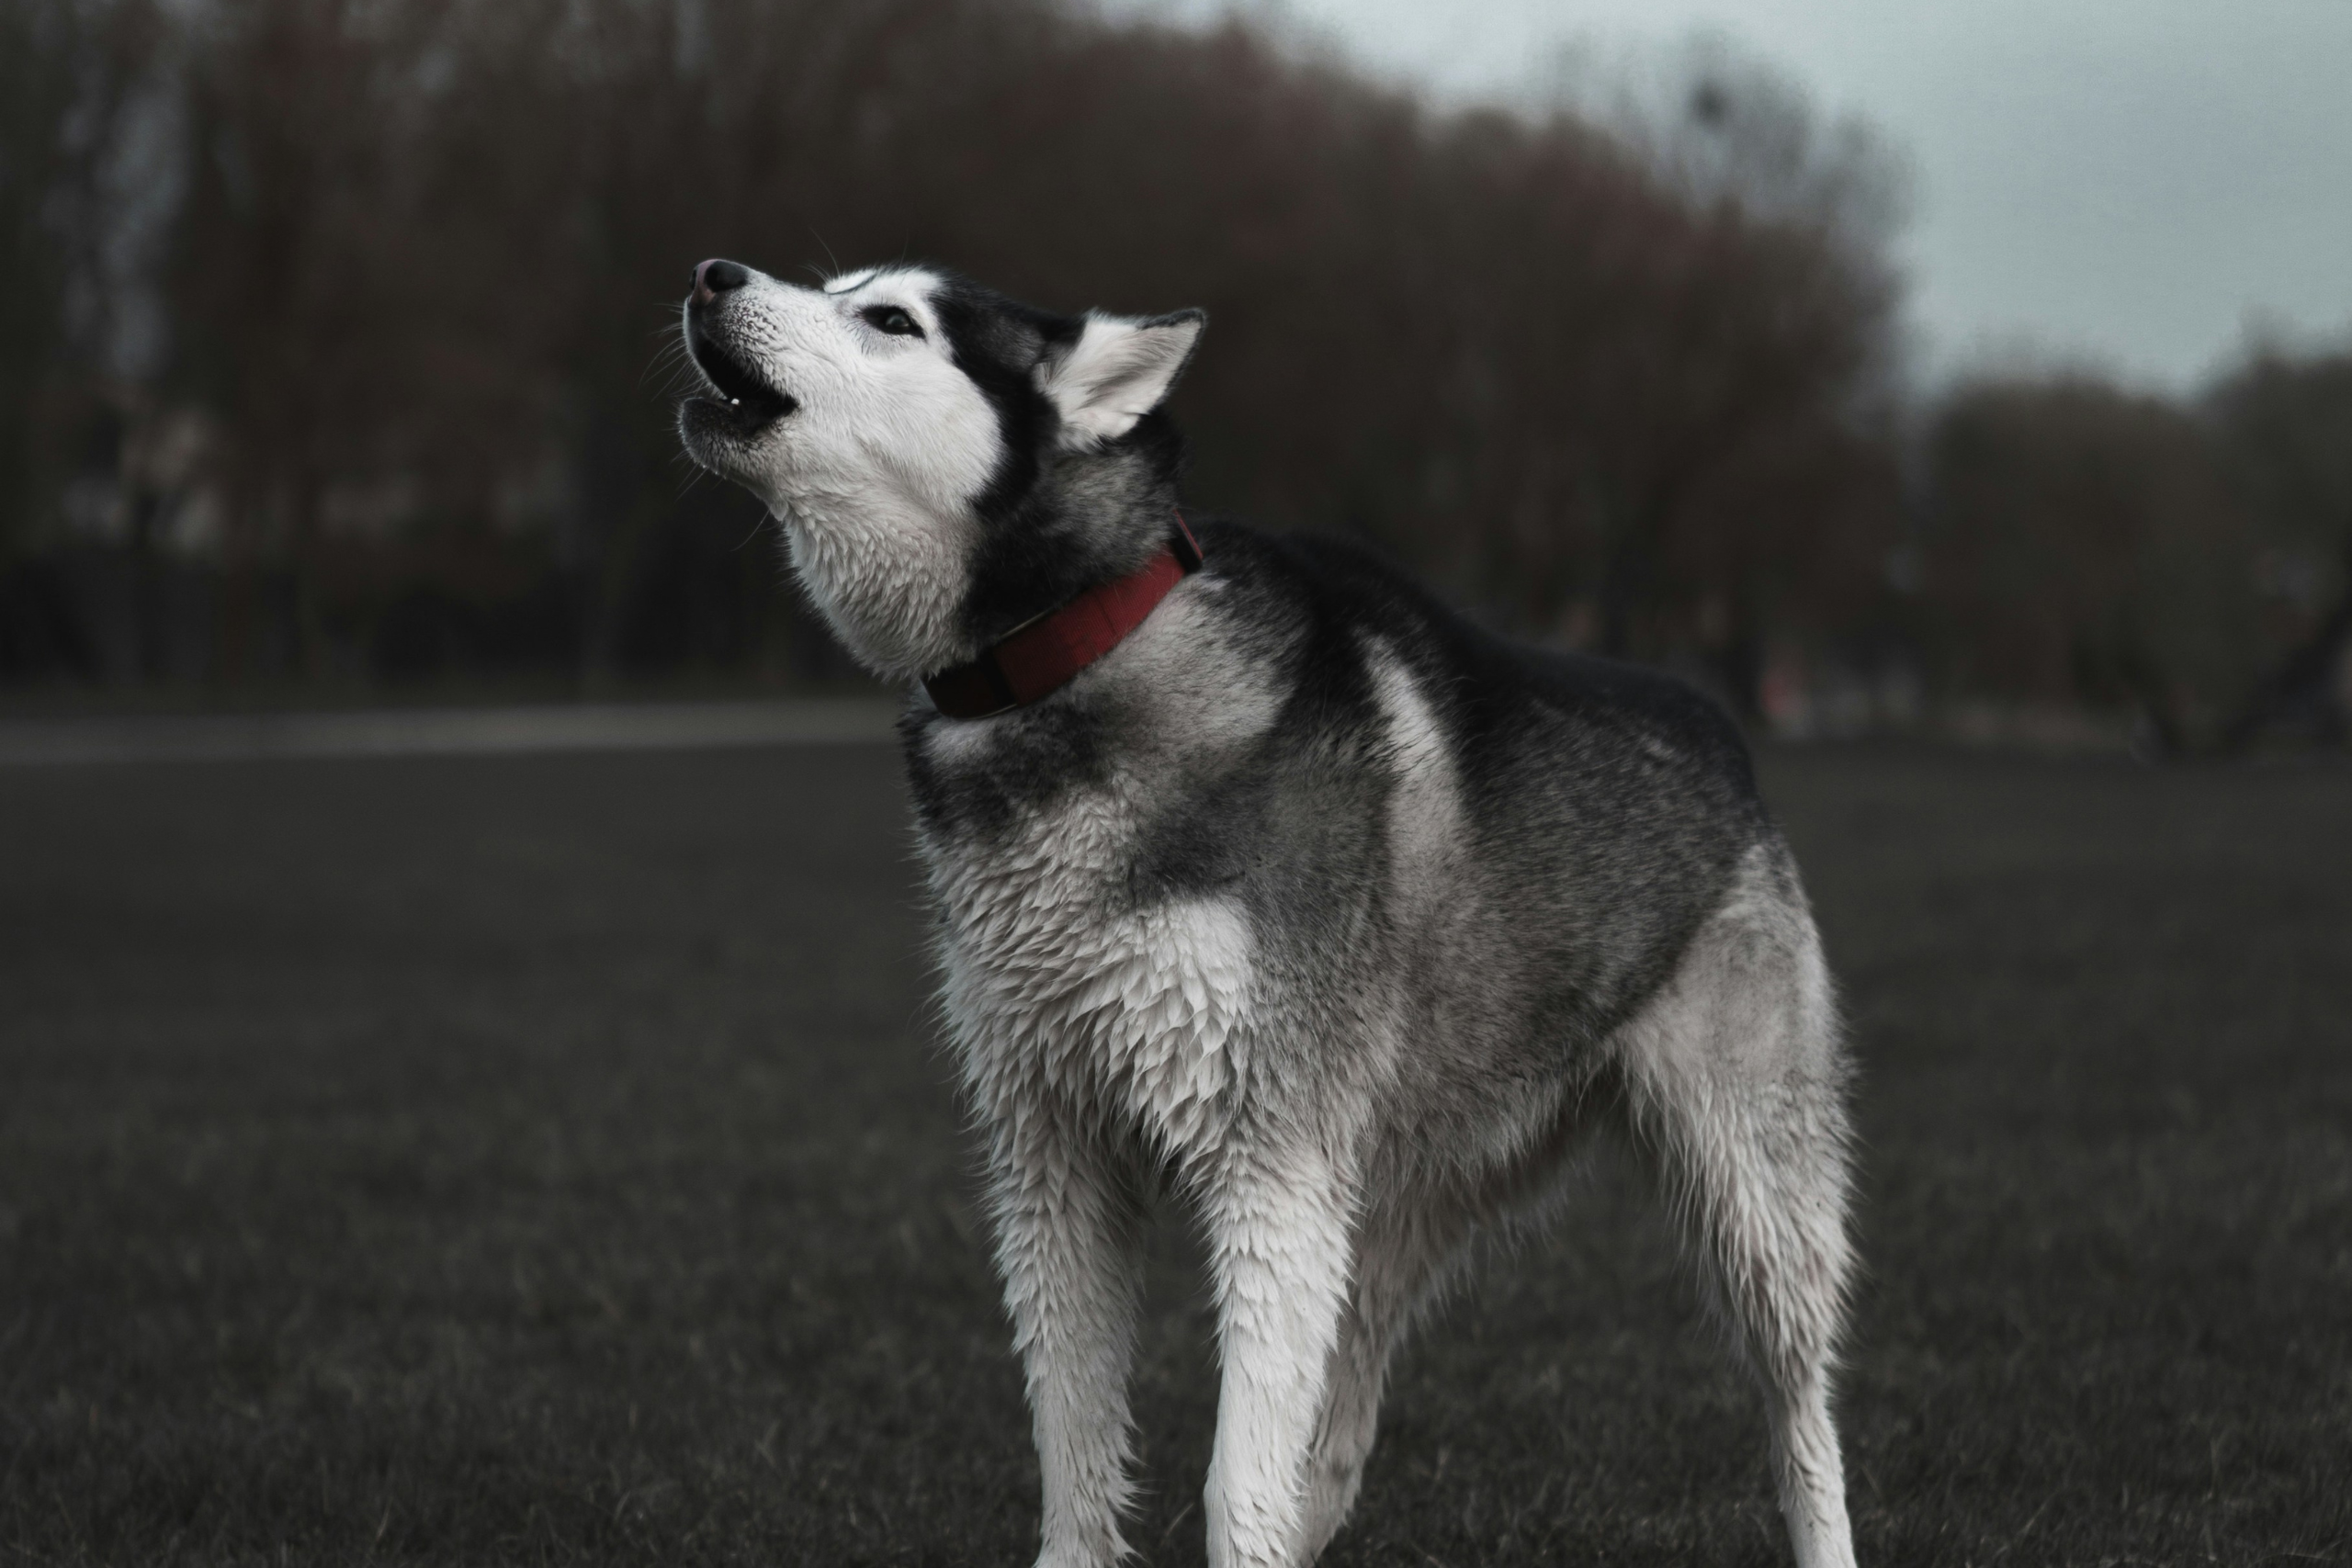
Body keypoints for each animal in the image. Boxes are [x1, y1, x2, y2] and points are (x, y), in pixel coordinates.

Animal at [677, 261, 1853, 1568]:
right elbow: (1076, 1452)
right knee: (1339, 1420)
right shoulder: (1053, 1156)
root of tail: (1715, 720)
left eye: (890, 320)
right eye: (833, 285)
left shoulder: (1267, 1162)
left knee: (1802, 1412)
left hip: (1753, 1195)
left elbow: (1237, 1483)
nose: (714, 274)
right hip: (1382, 1206)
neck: (1068, 663)